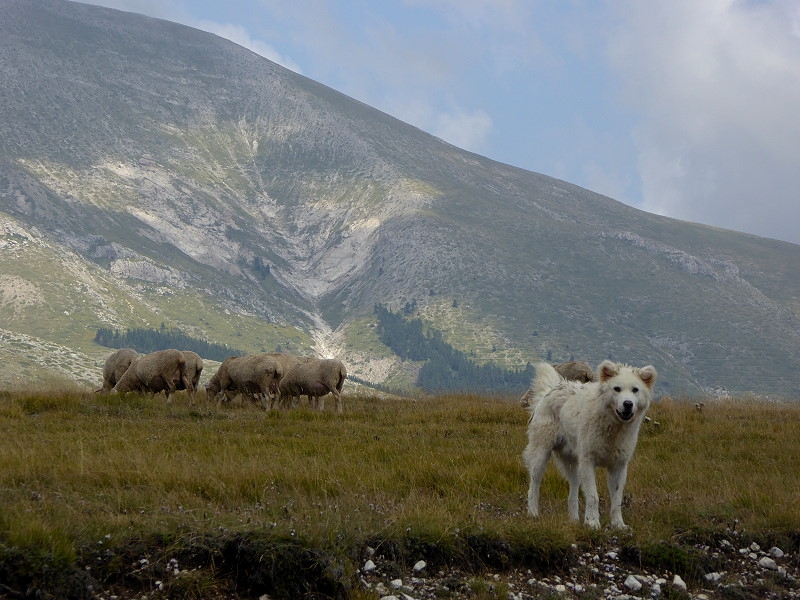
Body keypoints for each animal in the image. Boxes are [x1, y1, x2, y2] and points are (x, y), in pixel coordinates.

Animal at [524, 358, 656, 528]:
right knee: (534, 486)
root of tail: (551, 390)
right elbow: (593, 496)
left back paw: (574, 520)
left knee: (572, 494)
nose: (627, 404)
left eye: (635, 390)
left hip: (573, 465)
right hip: (541, 455)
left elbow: (617, 500)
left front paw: (618, 524)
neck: (613, 428)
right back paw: (533, 514)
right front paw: (593, 522)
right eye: (617, 389)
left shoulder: (619, 466)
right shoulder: (588, 462)